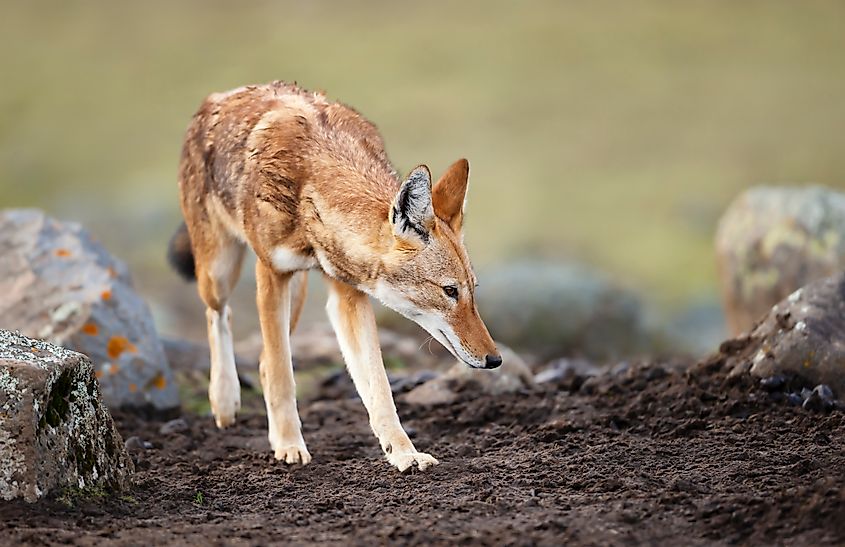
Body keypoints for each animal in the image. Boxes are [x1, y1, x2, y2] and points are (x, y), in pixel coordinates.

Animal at [168, 81, 501, 471]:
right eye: (450, 291)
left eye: (471, 291)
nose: (495, 360)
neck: (311, 189)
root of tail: (218, 96)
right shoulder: (271, 272)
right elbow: (283, 377)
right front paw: (288, 445)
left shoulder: (347, 294)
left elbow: (379, 387)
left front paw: (404, 453)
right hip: (220, 272)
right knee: (222, 315)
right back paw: (224, 400)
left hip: (295, 294)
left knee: (263, 358)